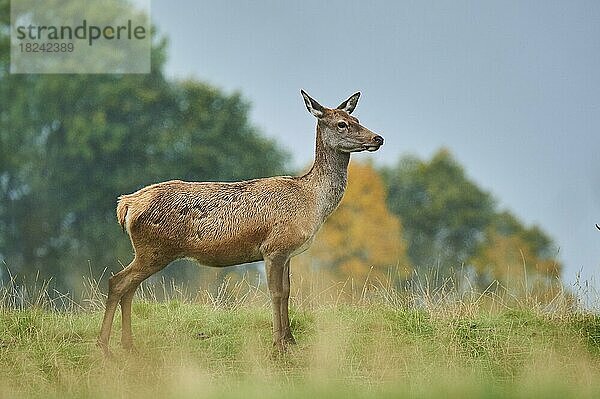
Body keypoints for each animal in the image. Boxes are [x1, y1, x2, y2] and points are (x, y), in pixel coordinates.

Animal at [96, 90, 382, 356]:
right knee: (118, 282)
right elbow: (276, 293)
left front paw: (291, 341)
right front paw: (278, 345)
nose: (377, 138)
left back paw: (128, 345)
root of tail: (127, 204)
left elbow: (288, 292)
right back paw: (104, 346)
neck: (312, 201)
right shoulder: (274, 248)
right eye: (341, 124)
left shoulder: (288, 252)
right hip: (154, 250)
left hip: (149, 251)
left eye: (356, 118)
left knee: (128, 287)